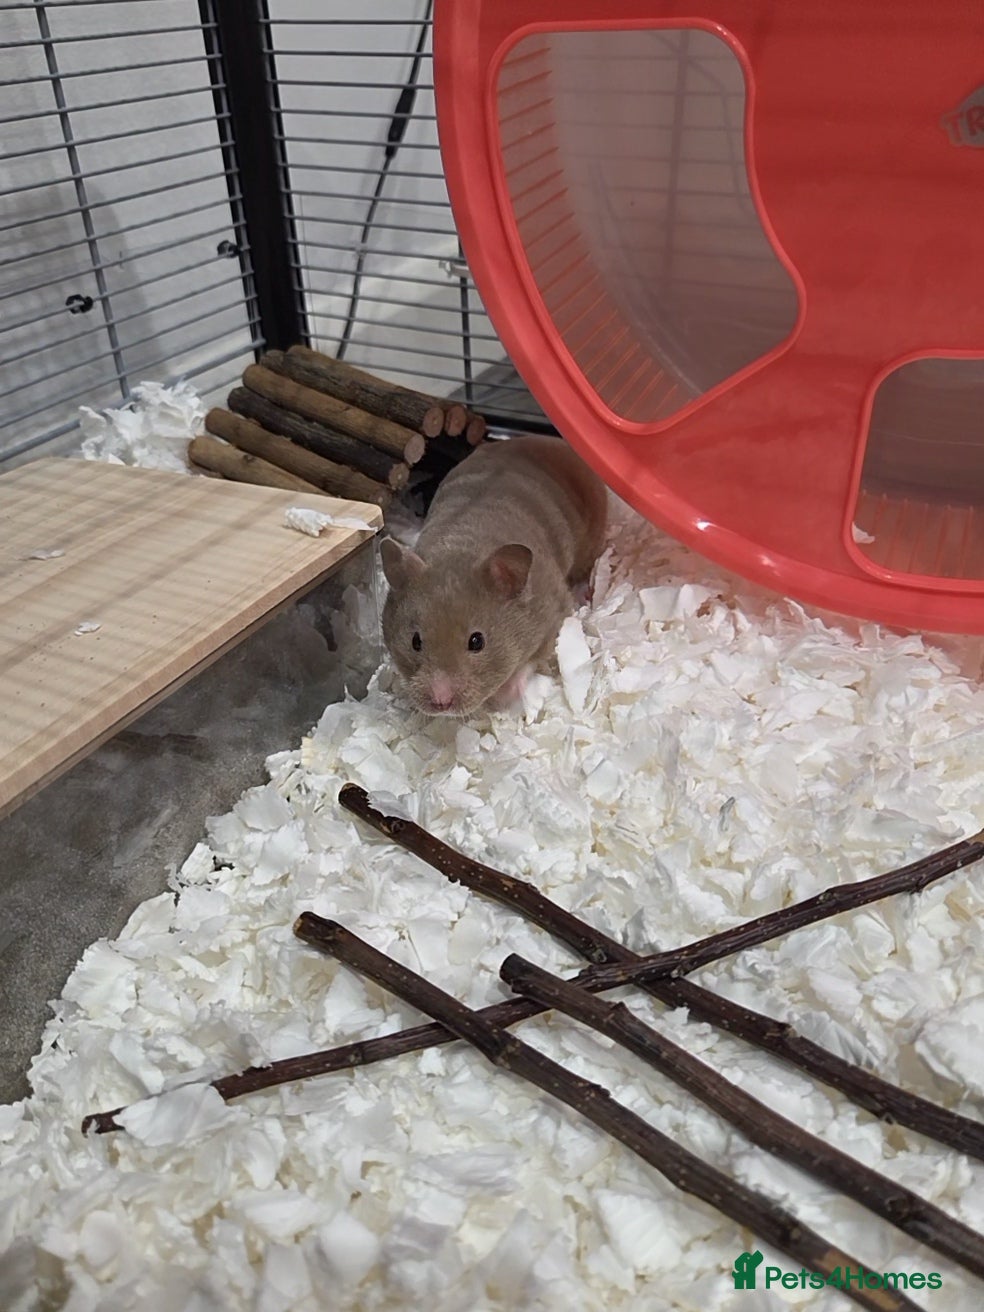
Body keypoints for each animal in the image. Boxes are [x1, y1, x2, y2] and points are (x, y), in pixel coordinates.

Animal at [380, 435, 608, 717]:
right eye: (415, 641)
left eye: (477, 641)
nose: (441, 703)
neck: (460, 549)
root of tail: (555, 441)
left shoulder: (554, 616)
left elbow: (529, 662)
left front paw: (504, 696)